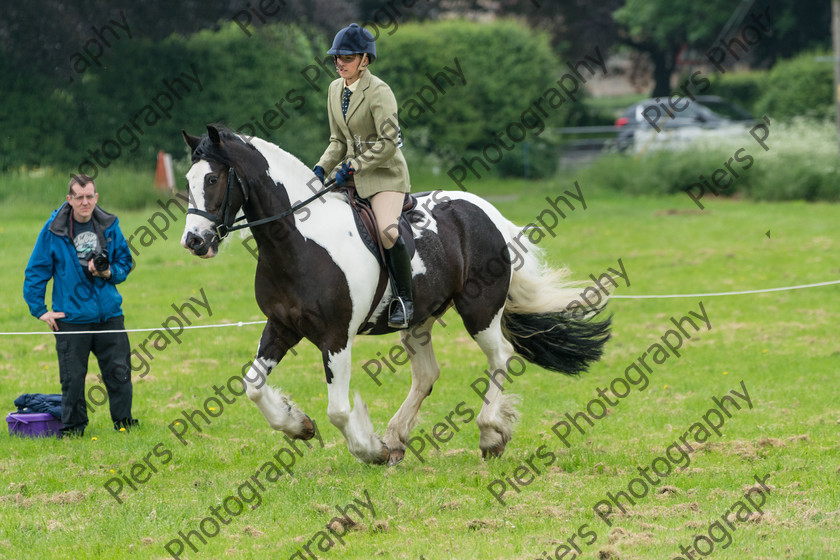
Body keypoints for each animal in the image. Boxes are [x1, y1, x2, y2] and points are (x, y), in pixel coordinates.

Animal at [180, 126, 612, 464]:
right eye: (187, 180)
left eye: (213, 180)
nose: (194, 241)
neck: (299, 242)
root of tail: (486, 212)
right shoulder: (281, 326)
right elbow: (252, 385)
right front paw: (297, 424)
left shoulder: (336, 337)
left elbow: (338, 409)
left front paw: (369, 450)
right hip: (419, 318)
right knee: (427, 374)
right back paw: (397, 437)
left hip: (479, 310)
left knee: (500, 357)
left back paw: (489, 434)